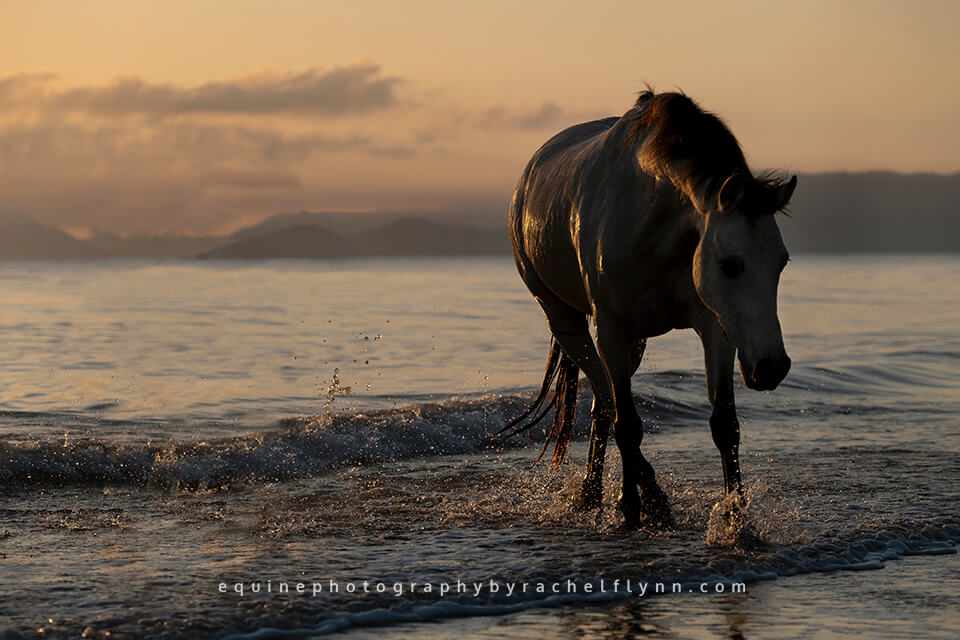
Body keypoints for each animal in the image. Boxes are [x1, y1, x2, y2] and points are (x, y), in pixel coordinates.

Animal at [502, 91, 796, 528]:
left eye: (782, 262)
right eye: (729, 264)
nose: (772, 367)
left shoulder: (715, 327)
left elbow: (725, 425)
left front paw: (735, 518)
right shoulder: (610, 327)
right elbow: (628, 423)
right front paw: (634, 506)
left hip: (634, 342)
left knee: (603, 404)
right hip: (566, 322)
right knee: (607, 401)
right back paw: (608, 494)